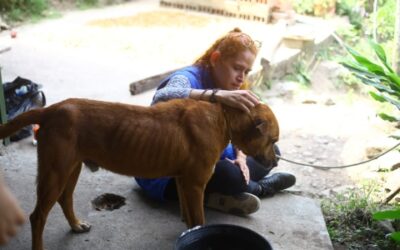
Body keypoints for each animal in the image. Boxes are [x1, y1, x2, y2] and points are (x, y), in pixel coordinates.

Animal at [0, 97, 280, 250]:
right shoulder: (196, 184)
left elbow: (189, 216)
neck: (223, 116)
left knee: (65, 199)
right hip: (55, 171)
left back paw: (76, 224)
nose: (276, 160)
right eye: (273, 139)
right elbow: (199, 221)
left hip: (72, 168)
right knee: (37, 216)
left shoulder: (184, 180)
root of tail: (49, 110)